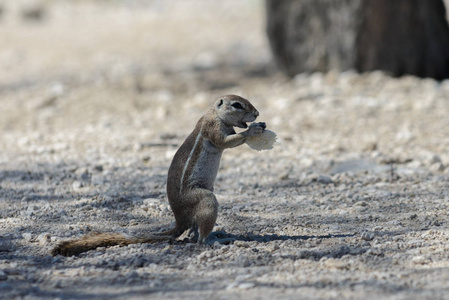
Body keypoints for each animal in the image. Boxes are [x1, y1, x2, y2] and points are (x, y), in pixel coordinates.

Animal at [50, 95, 264, 256]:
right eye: (237, 105)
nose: (257, 114)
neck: (214, 113)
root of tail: (180, 220)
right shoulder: (213, 129)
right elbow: (227, 141)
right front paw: (253, 129)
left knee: (193, 234)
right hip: (205, 198)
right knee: (200, 239)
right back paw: (218, 240)